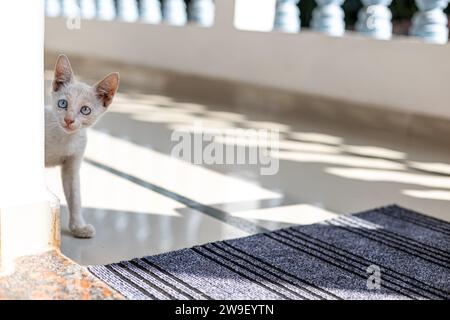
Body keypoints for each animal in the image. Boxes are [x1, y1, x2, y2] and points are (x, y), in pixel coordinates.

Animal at [46, 54, 119, 238]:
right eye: (63, 104)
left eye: (85, 110)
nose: (68, 120)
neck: (64, 139)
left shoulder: (72, 165)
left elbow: (75, 196)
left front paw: (78, 227)